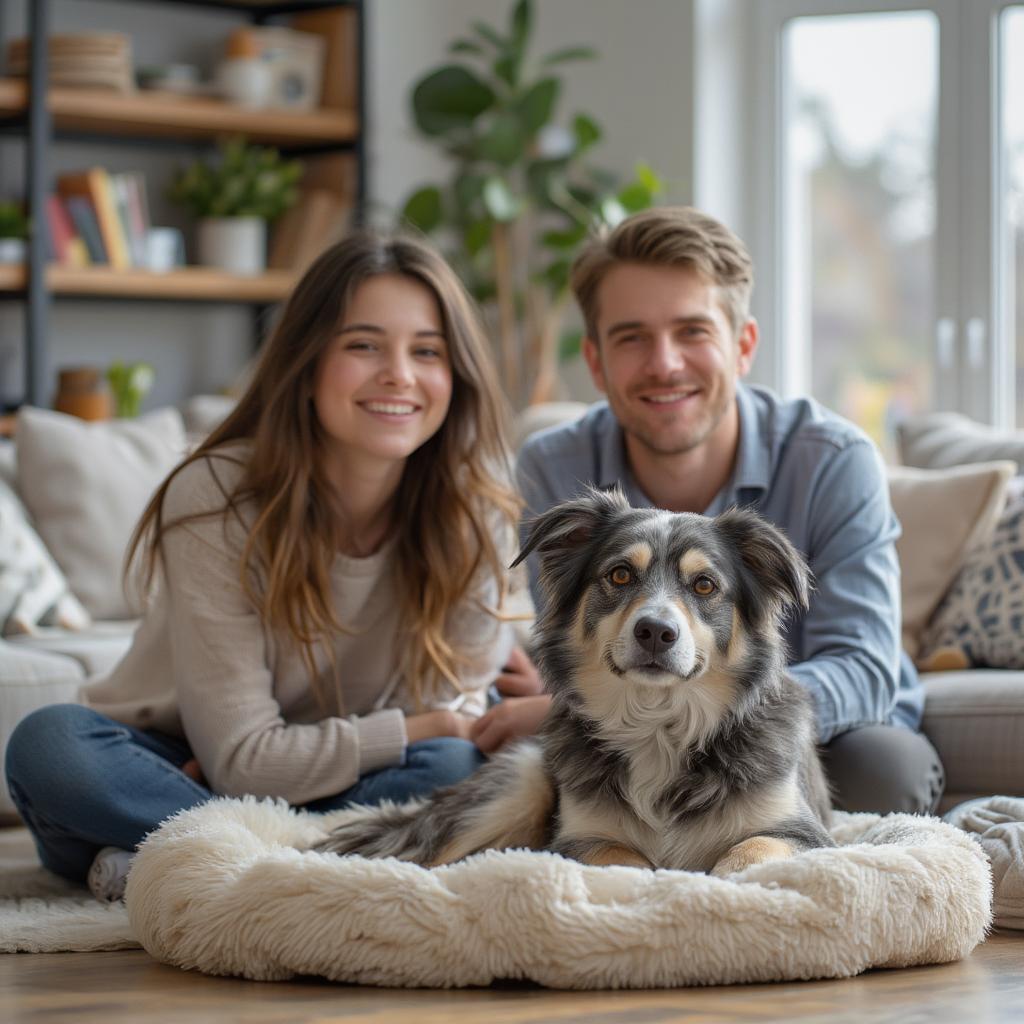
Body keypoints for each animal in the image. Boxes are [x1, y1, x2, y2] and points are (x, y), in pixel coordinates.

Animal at [317, 485, 831, 872]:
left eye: (704, 585)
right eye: (620, 575)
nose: (655, 631)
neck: (659, 724)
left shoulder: (803, 833)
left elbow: (751, 848)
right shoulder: (580, 839)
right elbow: (626, 859)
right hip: (521, 778)